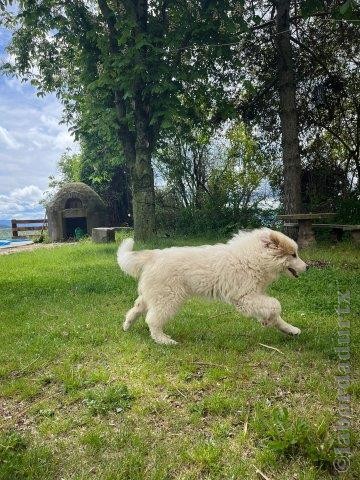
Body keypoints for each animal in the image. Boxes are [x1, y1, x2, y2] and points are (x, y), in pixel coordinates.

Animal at [117, 229, 306, 344]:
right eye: (293, 254)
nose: (308, 267)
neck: (253, 258)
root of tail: (153, 255)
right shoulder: (245, 298)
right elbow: (276, 305)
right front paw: (269, 321)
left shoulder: (255, 297)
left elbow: (275, 313)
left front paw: (289, 329)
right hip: (168, 298)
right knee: (152, 319)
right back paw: (164, 340)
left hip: (155, 295)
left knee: (137, 307)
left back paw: (127, 325)